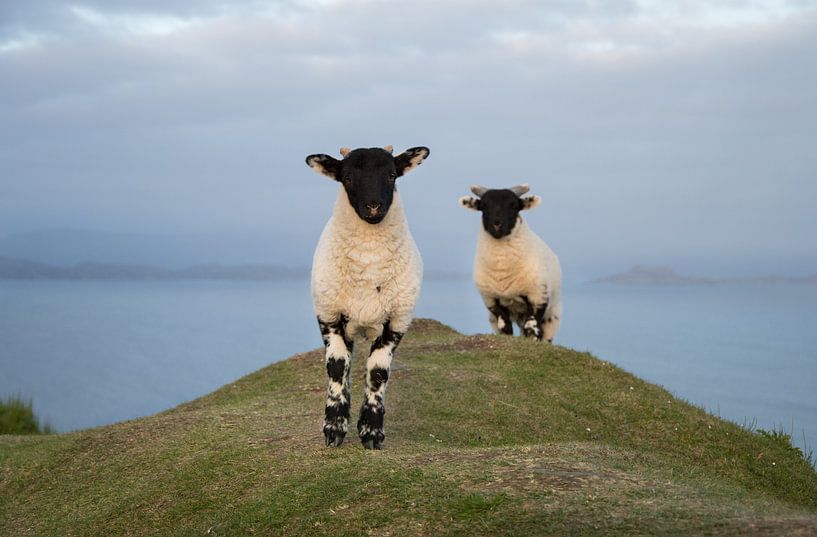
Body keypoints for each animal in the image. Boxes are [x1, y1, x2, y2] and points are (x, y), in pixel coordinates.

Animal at [306, 143, 430, 448]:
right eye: (347, 177)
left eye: (392, 175)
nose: (374, 206)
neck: (368, 260)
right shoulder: (329, 315)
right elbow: (337, 367)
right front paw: (334, 428)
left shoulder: (397, 321)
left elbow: (378, 372)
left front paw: (372, 431)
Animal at [460, 184, 560, 342]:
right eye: (484, 205)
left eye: (513, 205)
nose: (497, 225)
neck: (503, 269)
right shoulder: (491, 299)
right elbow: (505, 327)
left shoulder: (538, 296)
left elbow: (532, 327)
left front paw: (533, 340)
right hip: (496, 317)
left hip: (552, 316)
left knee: (542, 333)